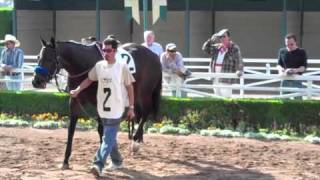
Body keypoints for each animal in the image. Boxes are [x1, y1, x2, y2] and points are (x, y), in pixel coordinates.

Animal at [31, 37, 162, 169]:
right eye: (38, 57)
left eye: (50, 59)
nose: (36, 81)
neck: (85, 65)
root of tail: (154, 55)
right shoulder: (74, 101)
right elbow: (71, 130)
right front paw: (65, 161)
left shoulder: (102, 101)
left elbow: (101, 129)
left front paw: (104, 157)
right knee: (137, 113)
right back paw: (138, 139)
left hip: (144, 93)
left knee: (145, 112)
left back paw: (135, 142)